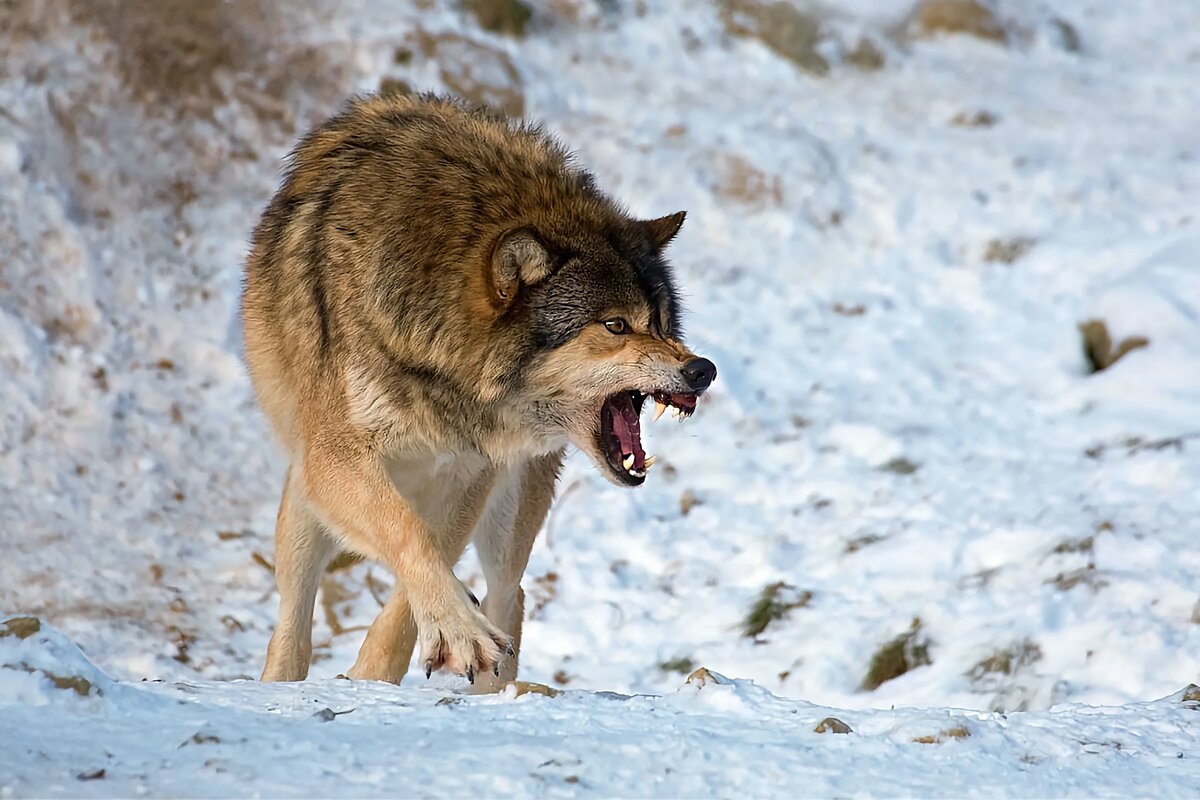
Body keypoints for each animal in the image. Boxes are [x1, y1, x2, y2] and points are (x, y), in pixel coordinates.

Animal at [238, 94, 715, 690]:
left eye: (663, 322)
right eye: (615, 326)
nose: (702, 370)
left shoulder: (473, 471)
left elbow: (417, 584)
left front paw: (383, 672)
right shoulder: (335, 461)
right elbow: (409, 539)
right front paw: (454, 635)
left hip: (511, 509)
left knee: (509, 594)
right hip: (304, 502)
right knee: (293, 616)